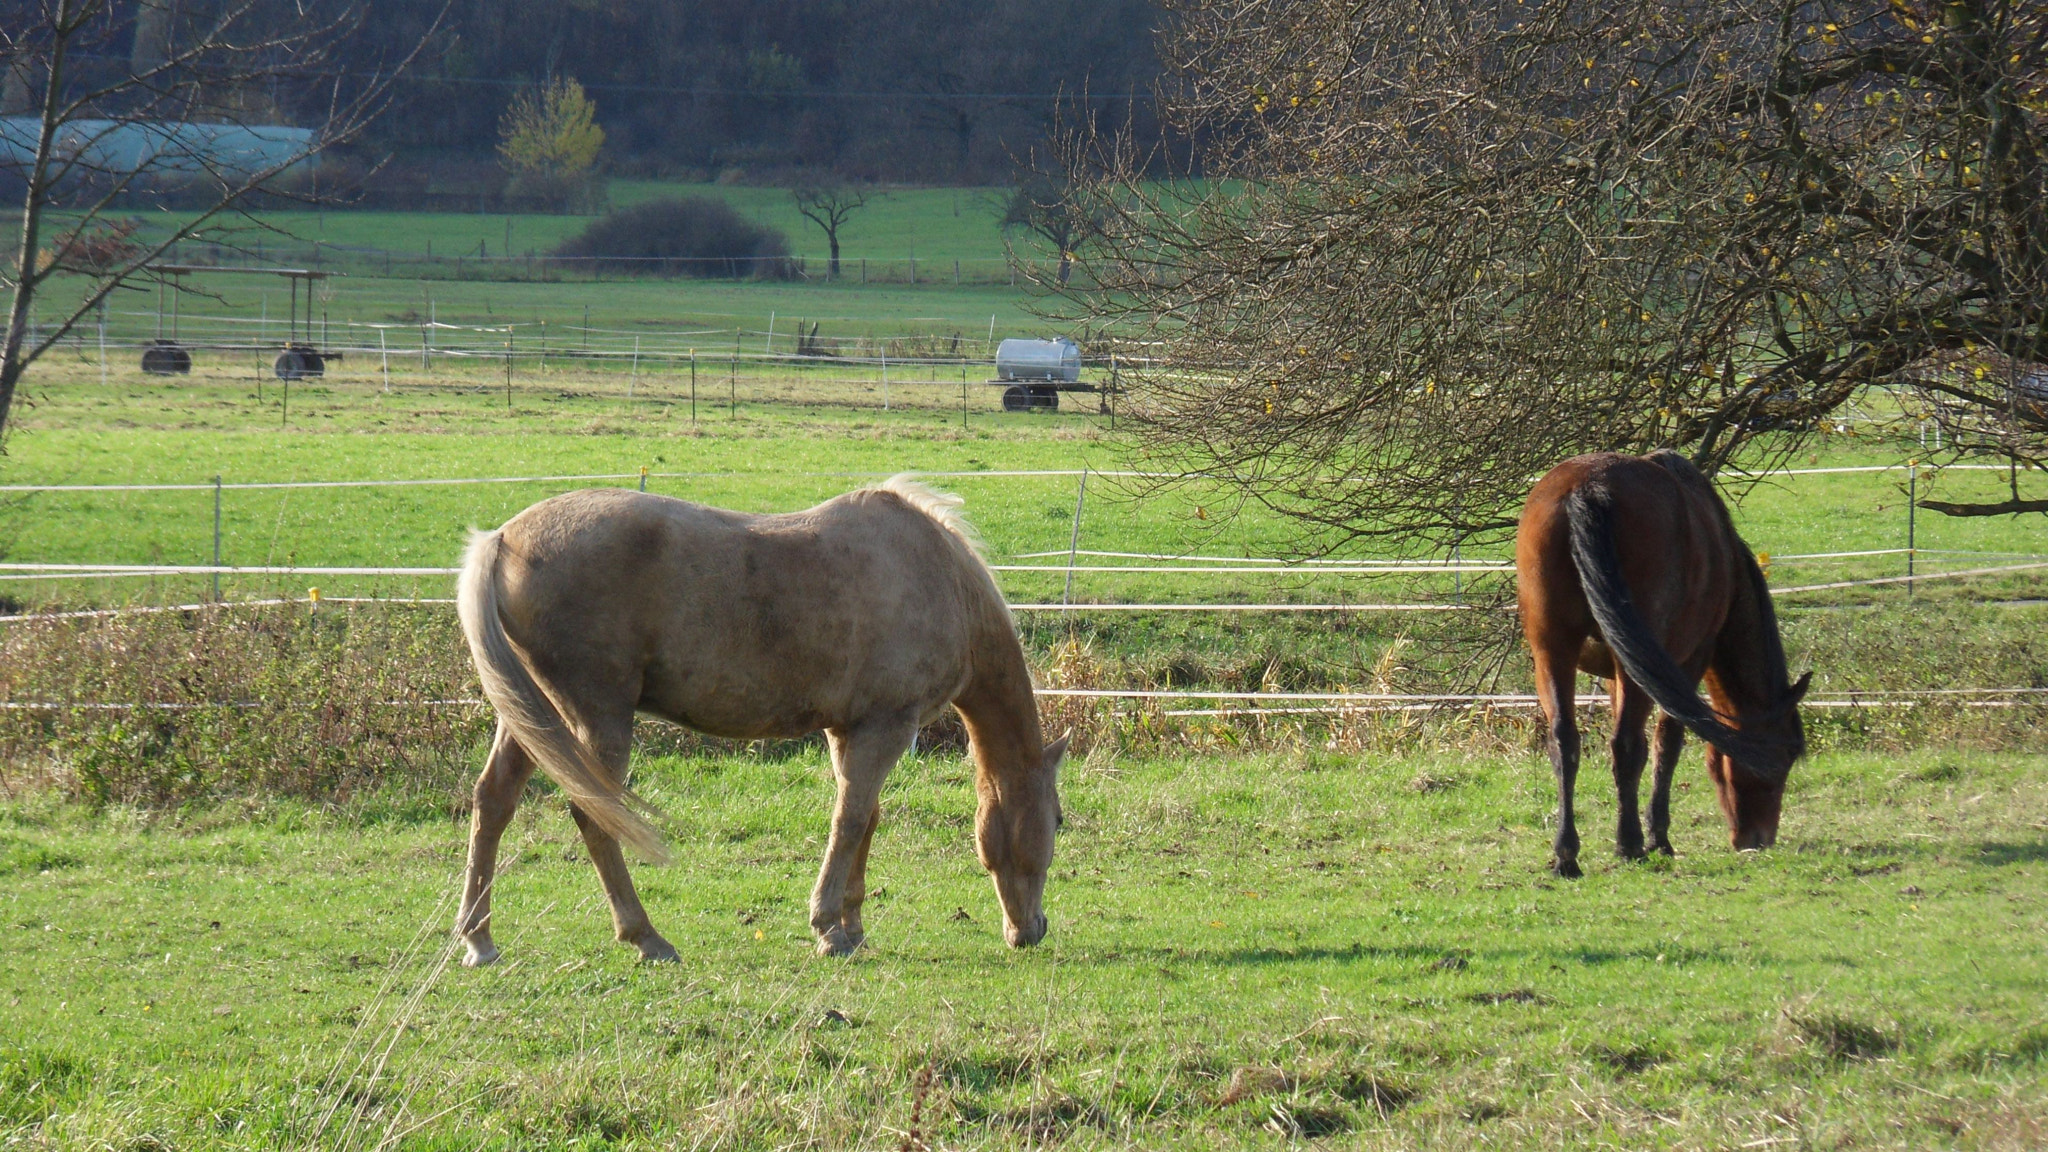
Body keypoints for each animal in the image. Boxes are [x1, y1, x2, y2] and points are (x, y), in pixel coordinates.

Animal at [452, 477, 1067, 964]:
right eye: (1058, 821)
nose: (1032, 930)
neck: (941, 580)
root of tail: (503, 539)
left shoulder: (848, 730)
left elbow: (864, 817)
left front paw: (852, 926)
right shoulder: (886, 727)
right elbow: (850, 821)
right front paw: (829, 928)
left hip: (532, 715)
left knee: (493, 801)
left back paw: (479, 939)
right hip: (597, 717)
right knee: (594, 815)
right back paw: (646, 937)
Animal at [1515, 450, 1810, 877]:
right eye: (1784, 758)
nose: (1758, 839)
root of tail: (1588, 488)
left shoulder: (1615, 674)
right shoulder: (1688, 662)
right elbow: (1667, 743)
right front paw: (1658, 838)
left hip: (1553, 651)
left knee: (1564, 741)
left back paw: (1566, 855)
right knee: (1626, 744)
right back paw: (1630, 844)